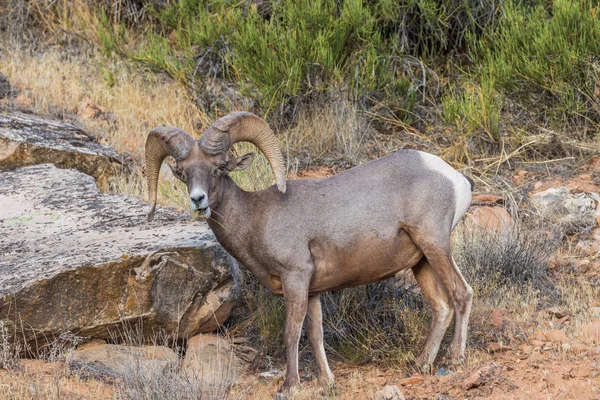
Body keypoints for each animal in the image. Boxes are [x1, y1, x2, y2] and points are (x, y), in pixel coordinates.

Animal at [145, 111, 474, 392]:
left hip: (434, 245)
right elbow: (316, 334)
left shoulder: (296, 278)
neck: (256, 217)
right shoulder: (313, 290)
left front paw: (290, 386)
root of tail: (455, 178)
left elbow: (292, 332)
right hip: (421, 262)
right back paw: (420, 364)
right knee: (441, 306)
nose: (198, 200)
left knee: (462, 293)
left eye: (219, 168)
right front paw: (326, 382)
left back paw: (453, 360)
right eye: (183, 173)